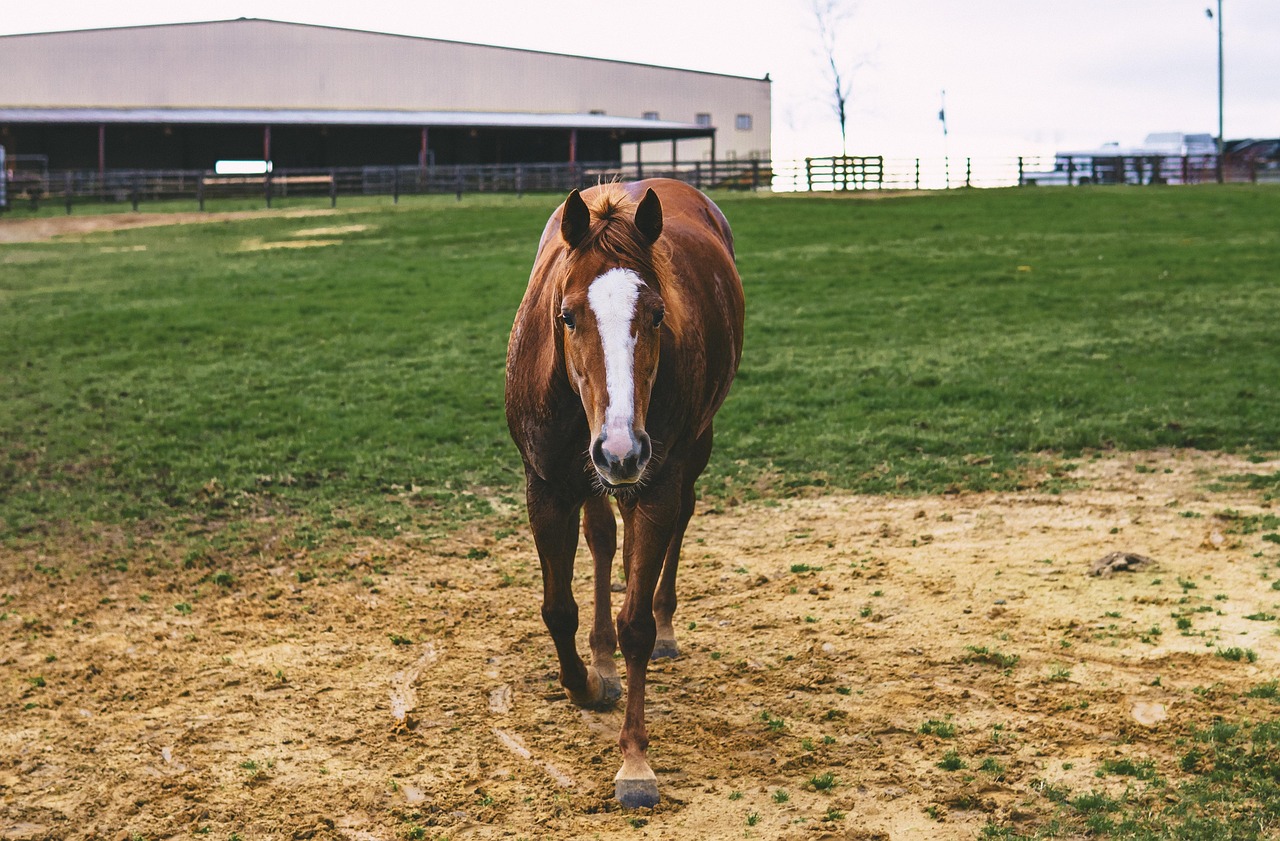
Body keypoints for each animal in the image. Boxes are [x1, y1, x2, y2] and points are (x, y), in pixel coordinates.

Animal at [504, 178, 745, 807]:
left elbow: (636, 623)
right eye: (566, 316)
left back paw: (663, 628)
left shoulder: (655, 482)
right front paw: (587, 683)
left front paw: (635, 762)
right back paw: (602, 658)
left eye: (657, 315)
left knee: (673, 526)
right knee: (604, 538)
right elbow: (557, 609)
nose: (620, 449)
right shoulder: (546, 487)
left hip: (685, 452)